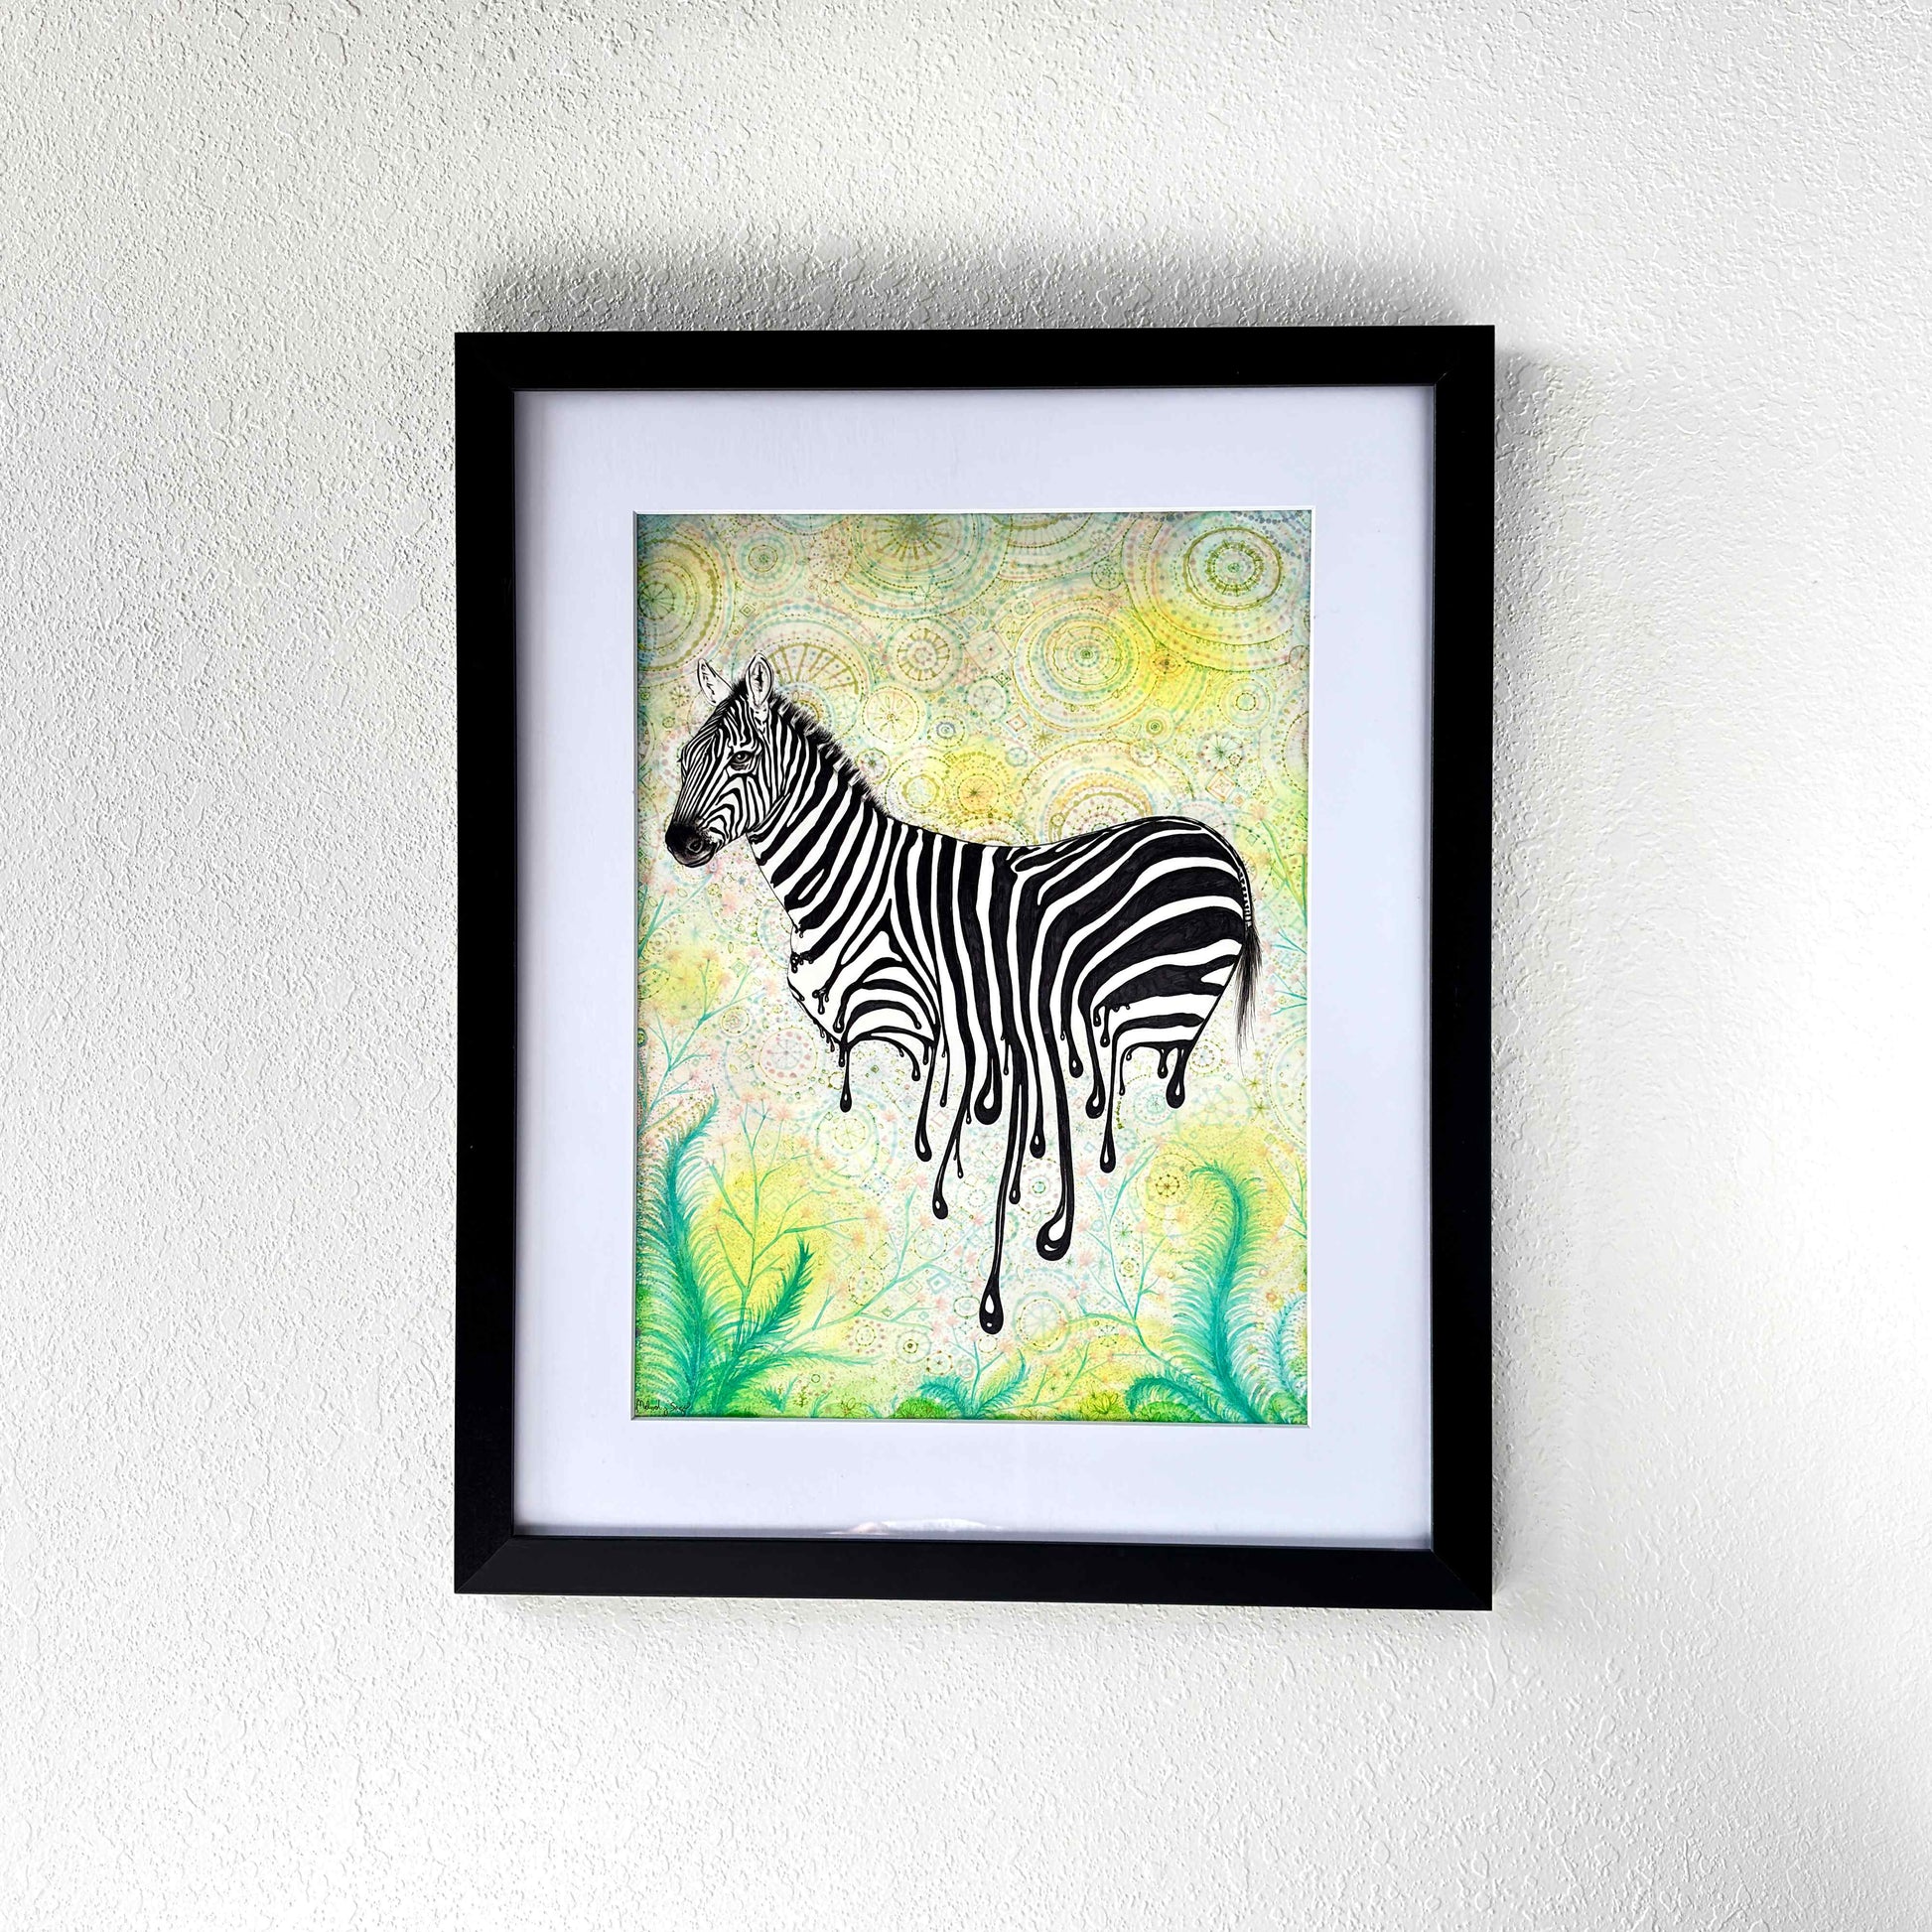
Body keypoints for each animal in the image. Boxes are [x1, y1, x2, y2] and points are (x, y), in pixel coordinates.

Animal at [663, 654, 1261, 1336]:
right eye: (683, 757)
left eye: (740, 758)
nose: (676, 844)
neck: (851, 883)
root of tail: (1219, 844)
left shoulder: (938, 1018)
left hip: (1160, 1002)